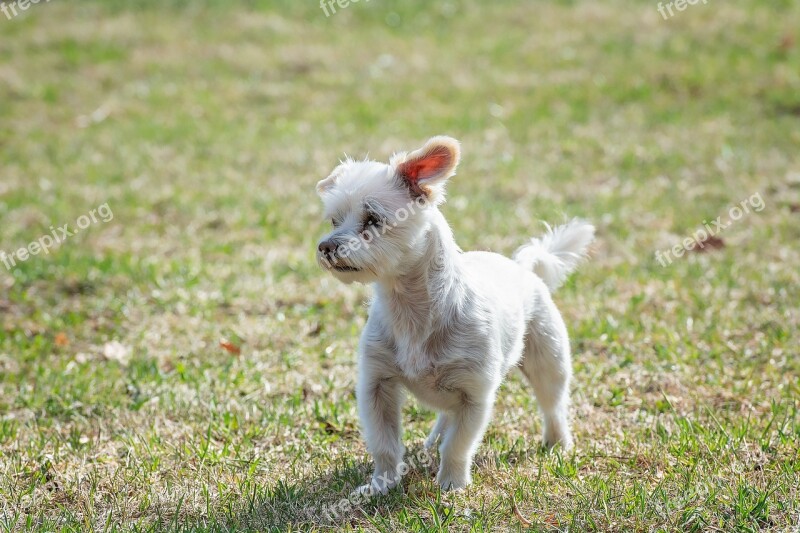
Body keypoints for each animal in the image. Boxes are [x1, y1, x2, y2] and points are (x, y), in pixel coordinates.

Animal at [316, 136, 592, 490]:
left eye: (373, 219)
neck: (411, 311)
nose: (326, 246)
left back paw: (558, 442)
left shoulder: (474, 396)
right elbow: (384, 444)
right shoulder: (376, 385)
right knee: (446, 417)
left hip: (548, 362)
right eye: (334, 221)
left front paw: (451, 484)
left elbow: (459, 445)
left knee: (553, 406)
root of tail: (522, 267)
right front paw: (382, 484)